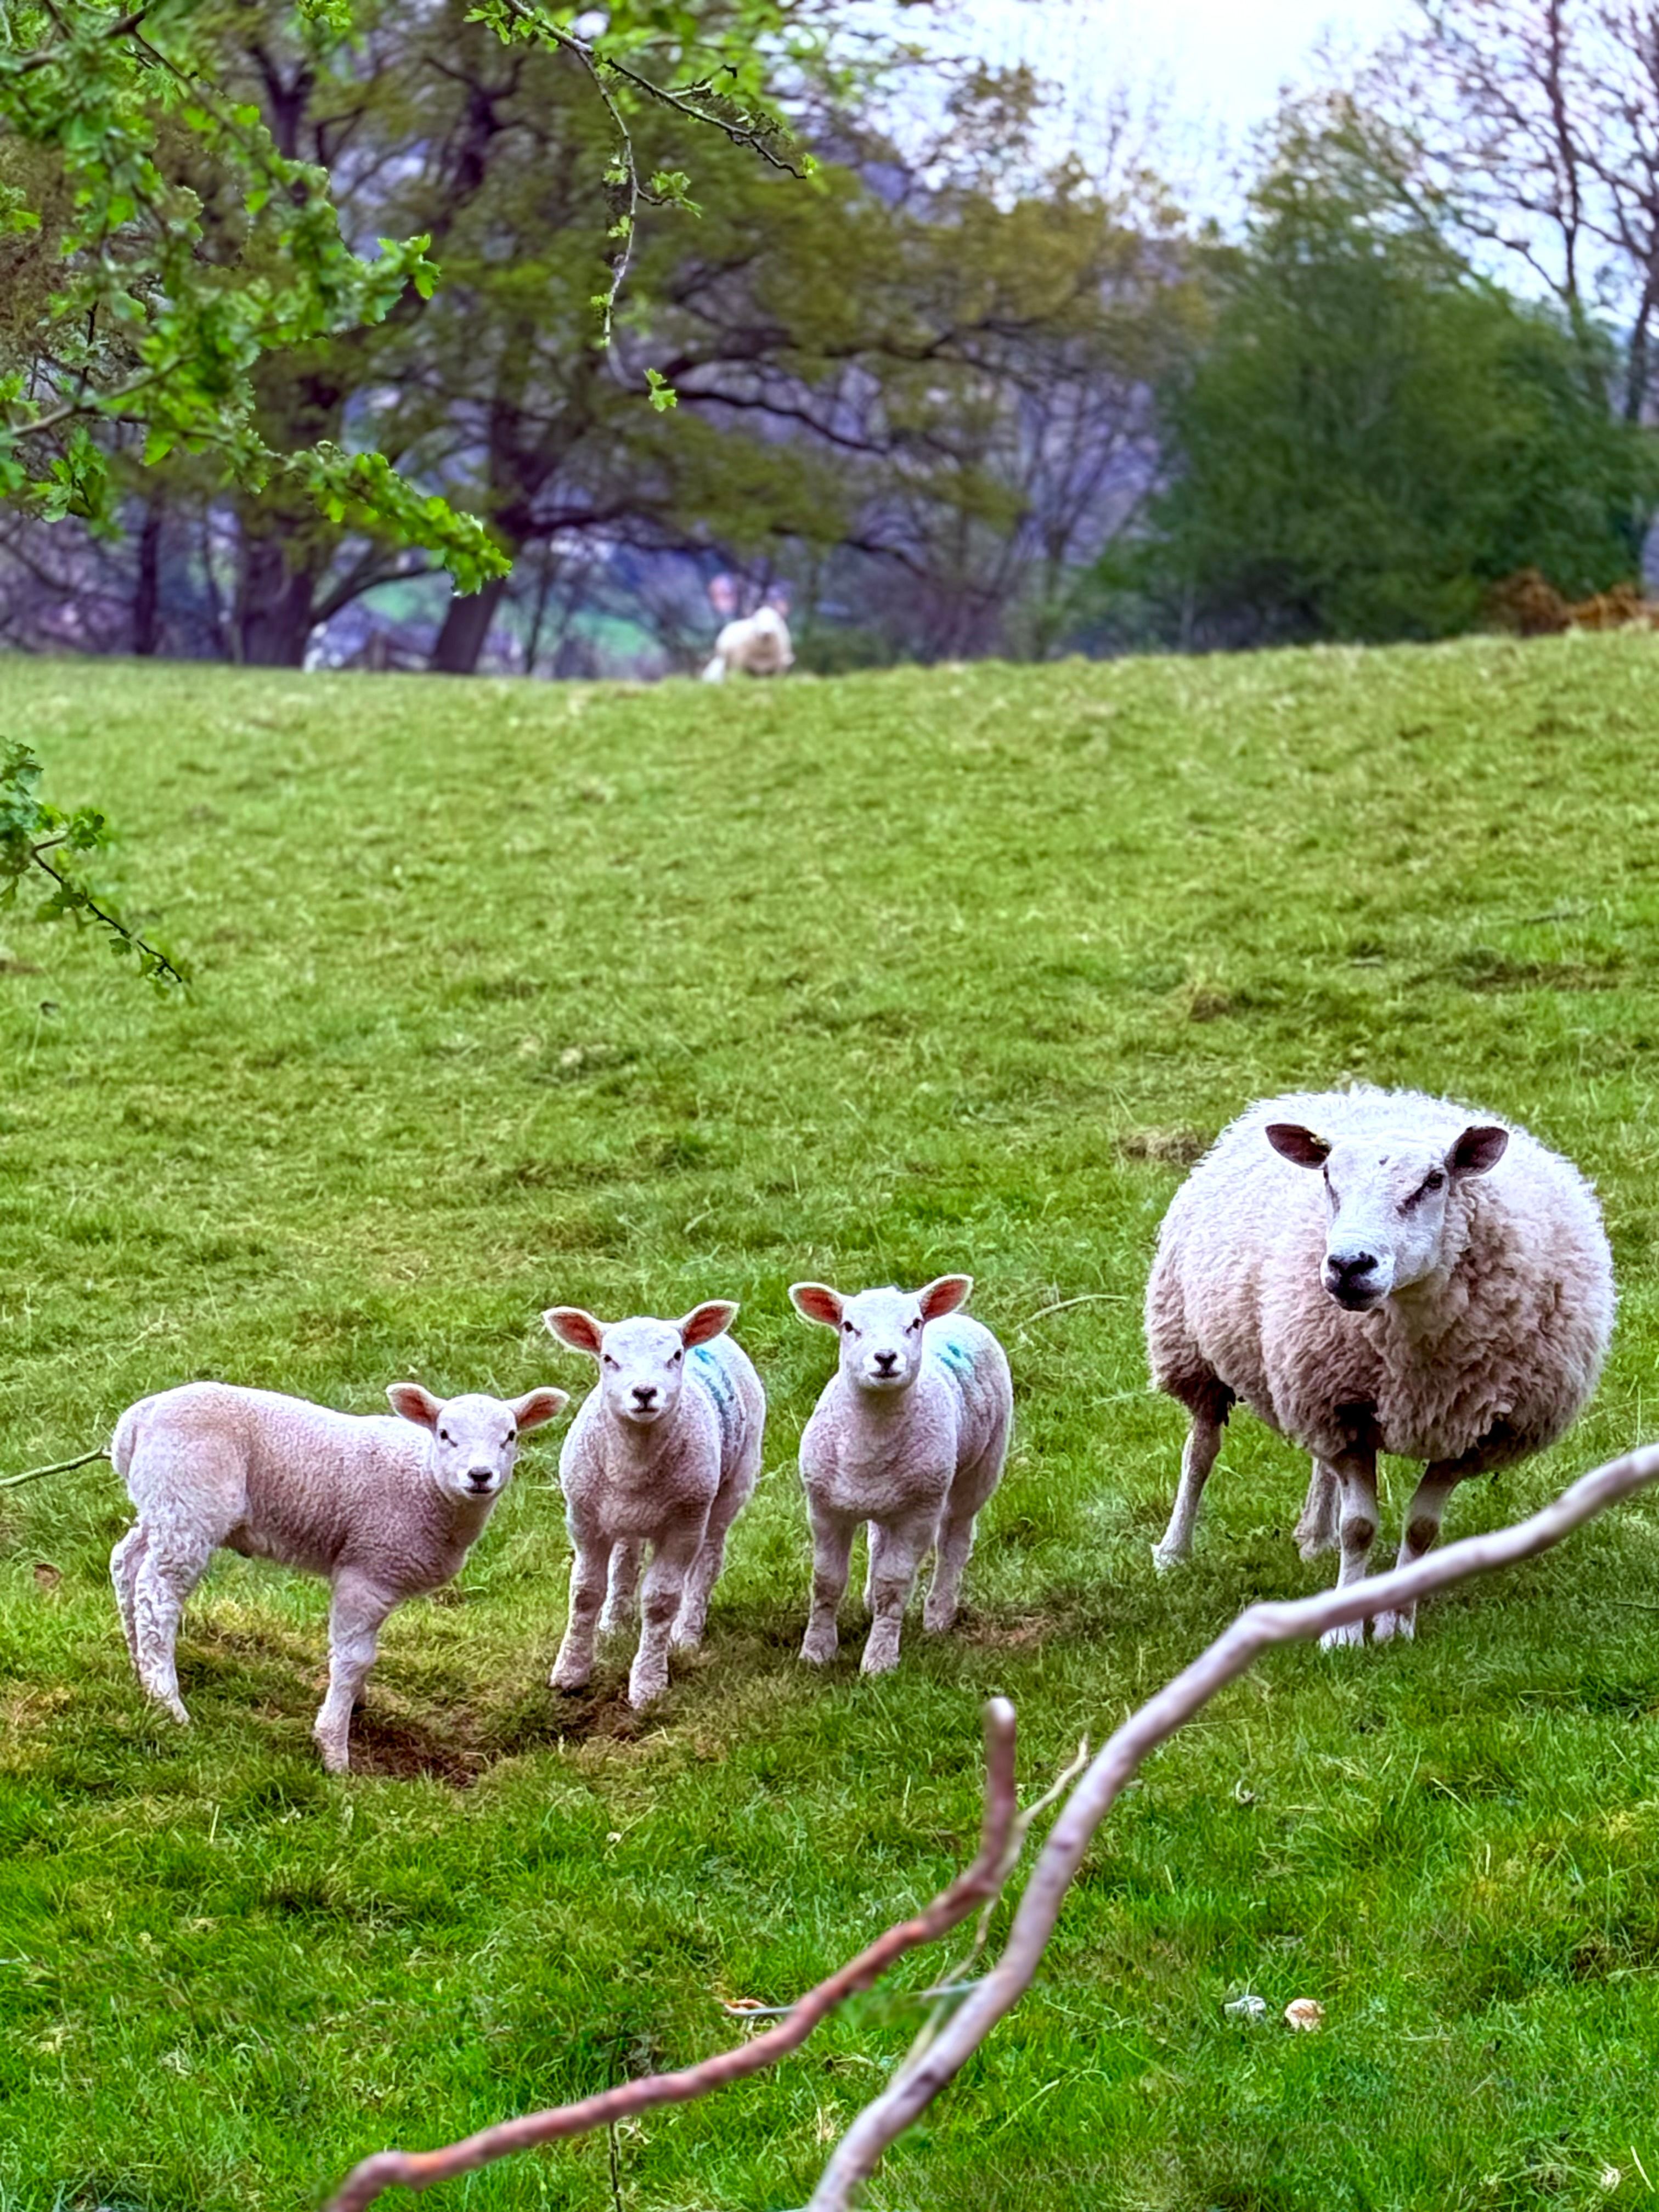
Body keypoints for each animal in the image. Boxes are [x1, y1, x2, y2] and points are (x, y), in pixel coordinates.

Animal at [109, 1379, 569, 1770]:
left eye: (510, 1436)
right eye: (444, 1434)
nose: (479, 1476)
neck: (426, 1484)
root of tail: (136, 1422)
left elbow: (361, 1655)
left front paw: (356, 1704)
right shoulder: (366, 1570)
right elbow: (355, 1658)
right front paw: (334, 1748)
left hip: (161, 1503)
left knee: (126, 1562)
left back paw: (139, 1667)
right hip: (188, 1501)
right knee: (157, 1593)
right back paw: (168, 1701)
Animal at [542, 1300, 765, 1709]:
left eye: (675, 1356)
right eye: (608, 1358)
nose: (644, 1393)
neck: (635, 1463)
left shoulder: (684, 1525)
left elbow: (661, 1601)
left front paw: (648, 1684)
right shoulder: (584, 1519)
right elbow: (584, 1593)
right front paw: (570, 1672)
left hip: (730, 1485)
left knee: (708, 1560)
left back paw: (687, 1634)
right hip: (623, 1516)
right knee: (626, 1557)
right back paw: (614, 1623)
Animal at [700, 606, 794, 683]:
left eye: (775, 620)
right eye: (757, 619)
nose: (766, 633)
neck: (763, 653)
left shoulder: (779, 665)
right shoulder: (739, 661)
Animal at [788, 1275, 1012, 1674]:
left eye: (914, 1324)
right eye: (849, 1326)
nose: (886, 1358)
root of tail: (959, 1318)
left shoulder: (917, 1514)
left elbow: (894, 1585)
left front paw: (879, 1660)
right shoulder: (824, 1509)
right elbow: (827, 1582)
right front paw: (816, 1653)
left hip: (980, 1467)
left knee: (956, 1539)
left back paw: (939, 1614)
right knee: (878, 1538)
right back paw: (870, 1601)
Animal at [1145, 1087, 1615, 1646]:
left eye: (1434, 1181)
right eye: (1329, 1178)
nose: (1349, 1265)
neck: (1418, 1353)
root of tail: (1353, 1092)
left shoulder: (1466, 1434)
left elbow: (1421, 1529)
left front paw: (1396, 1623)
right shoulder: (1344, 1413)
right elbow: (1360, 1528)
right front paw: (1343, 1633)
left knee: (1319, 1467)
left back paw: (1315, 1538)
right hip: (1193, 1349)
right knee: (1201, 1449)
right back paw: (1174, 1552)